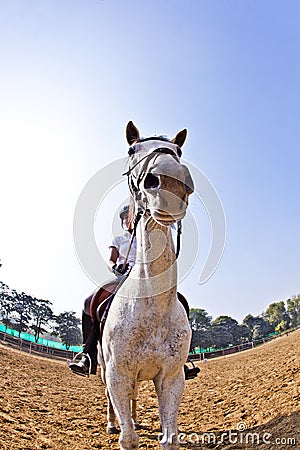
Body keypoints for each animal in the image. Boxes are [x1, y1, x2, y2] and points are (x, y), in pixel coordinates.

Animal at [100, 120, 195, 450]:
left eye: (178, 150)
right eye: (132, 149)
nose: (170, 182)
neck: (152, 309)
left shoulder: (171, 378)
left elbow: (169, 439)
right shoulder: (117, 374)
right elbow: (129, 439)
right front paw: (121, 428)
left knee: (133, 400)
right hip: (104, 370)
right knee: (112, 400)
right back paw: (112, 423)